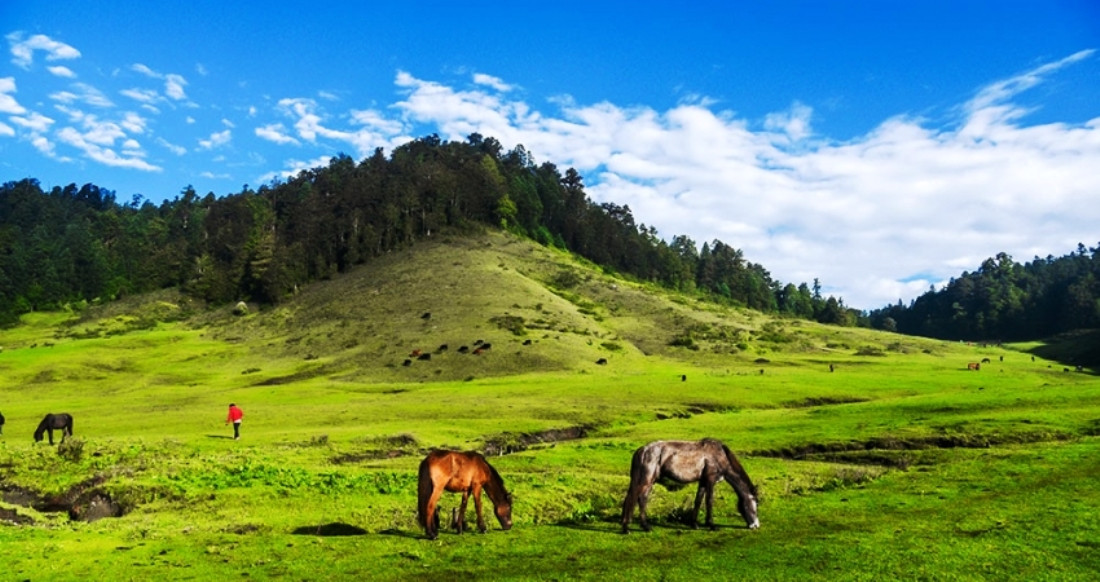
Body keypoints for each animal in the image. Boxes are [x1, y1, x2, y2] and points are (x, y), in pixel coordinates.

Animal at [624, 437, 761, 532]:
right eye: (755, 503)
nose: (756, 525)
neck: (720, 456)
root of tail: (643, 450)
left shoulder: (703, 481)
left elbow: (698, 501)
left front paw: (694, 524)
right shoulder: (710, 480)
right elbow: (709, 501)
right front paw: (712, 525)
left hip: (650, 481)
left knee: (642, 499)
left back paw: (645, 526)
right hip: (646, 480)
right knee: (633, 498)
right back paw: (626, 528)